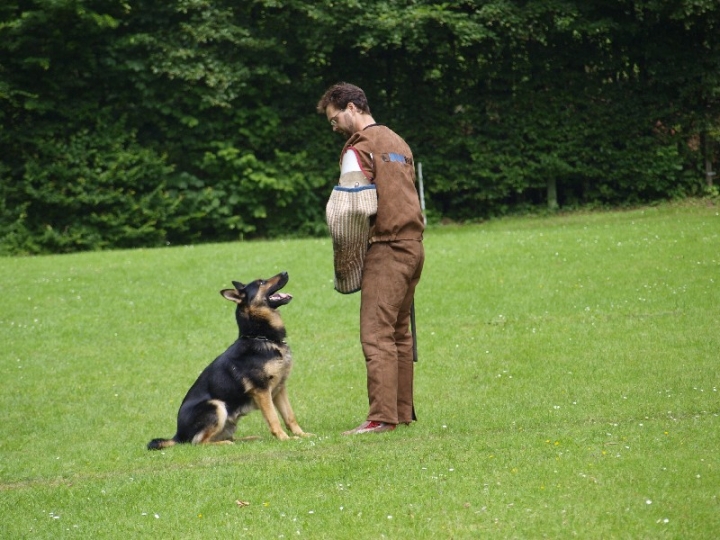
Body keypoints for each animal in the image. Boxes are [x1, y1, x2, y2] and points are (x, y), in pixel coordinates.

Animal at [148, 272, 308, 450]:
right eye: (261, 282)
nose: (285, 272)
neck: (261, 337)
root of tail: (178, 436)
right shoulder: (262, 391)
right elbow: (273, 418)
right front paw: (284, 438)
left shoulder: (279, 389)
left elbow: (290, 416)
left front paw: (301, 435)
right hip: (216, 405)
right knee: (198, 442)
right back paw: (225, 443)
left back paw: (249, 439)